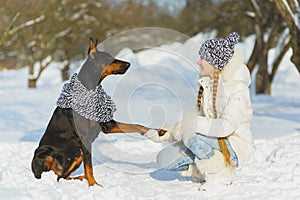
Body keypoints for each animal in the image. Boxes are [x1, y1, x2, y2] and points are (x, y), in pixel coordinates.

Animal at [32, 38, 166, 186]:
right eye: (108, 58)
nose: (128, 64)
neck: (90, 90)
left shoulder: (107, 125)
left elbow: (136, 125)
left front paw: (158, 131)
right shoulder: (84, 138)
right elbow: (89, 167)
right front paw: (94, 185)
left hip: (77, 156)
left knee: (61, 176)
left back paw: (79, 179)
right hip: (46, 152)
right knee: (47, 175)